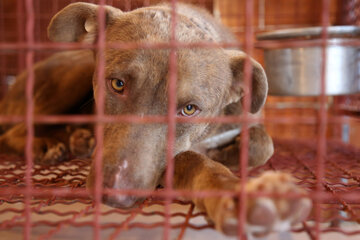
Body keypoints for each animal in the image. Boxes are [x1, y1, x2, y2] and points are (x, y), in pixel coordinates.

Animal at [0, 2, 310, 236]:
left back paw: (78, 139)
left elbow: (263, 144)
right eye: (118, 84)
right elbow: (194, 160)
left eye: (189, 109)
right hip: (72, 74)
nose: (115, 195)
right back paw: (43, 144)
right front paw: (234, 196)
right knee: (14, 130)